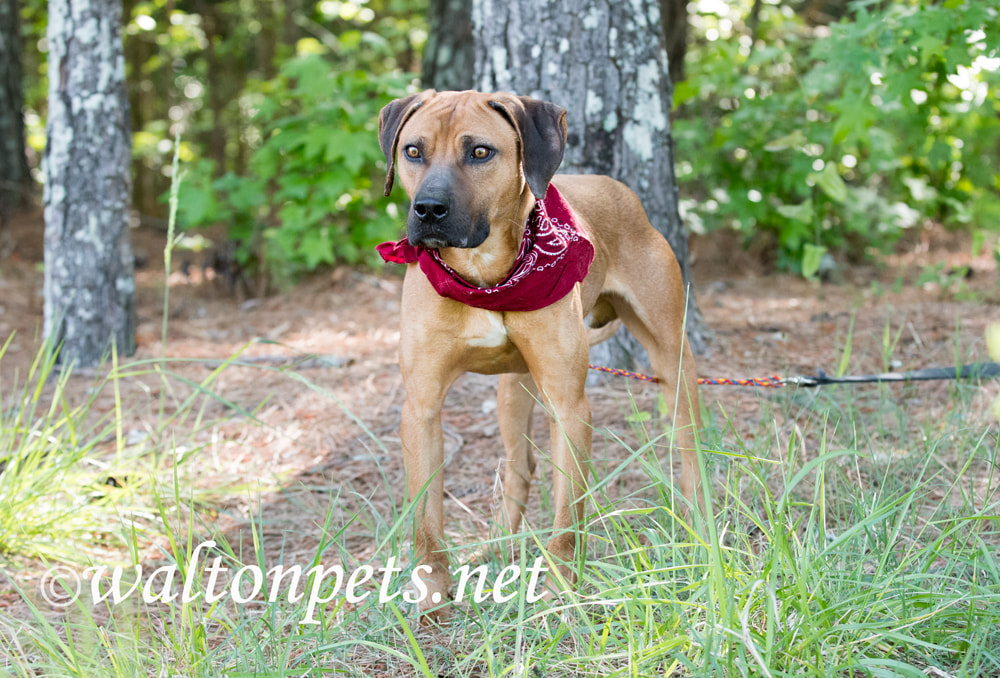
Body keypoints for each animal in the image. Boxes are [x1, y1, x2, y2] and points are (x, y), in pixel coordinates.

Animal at [376, 89, 704, 616]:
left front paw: (559, 591)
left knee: (689, 445)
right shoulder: (421, 407)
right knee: (519, 466)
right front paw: (431, 593)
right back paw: (496, 547)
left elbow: (568, 513)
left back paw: (700, 530)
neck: (486, 276)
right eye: (412, 151)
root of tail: (621, 192)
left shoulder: (569, 406)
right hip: (514, 389)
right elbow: (426, 521)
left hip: (672, 359)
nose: (427, 209)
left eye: (480, 152)